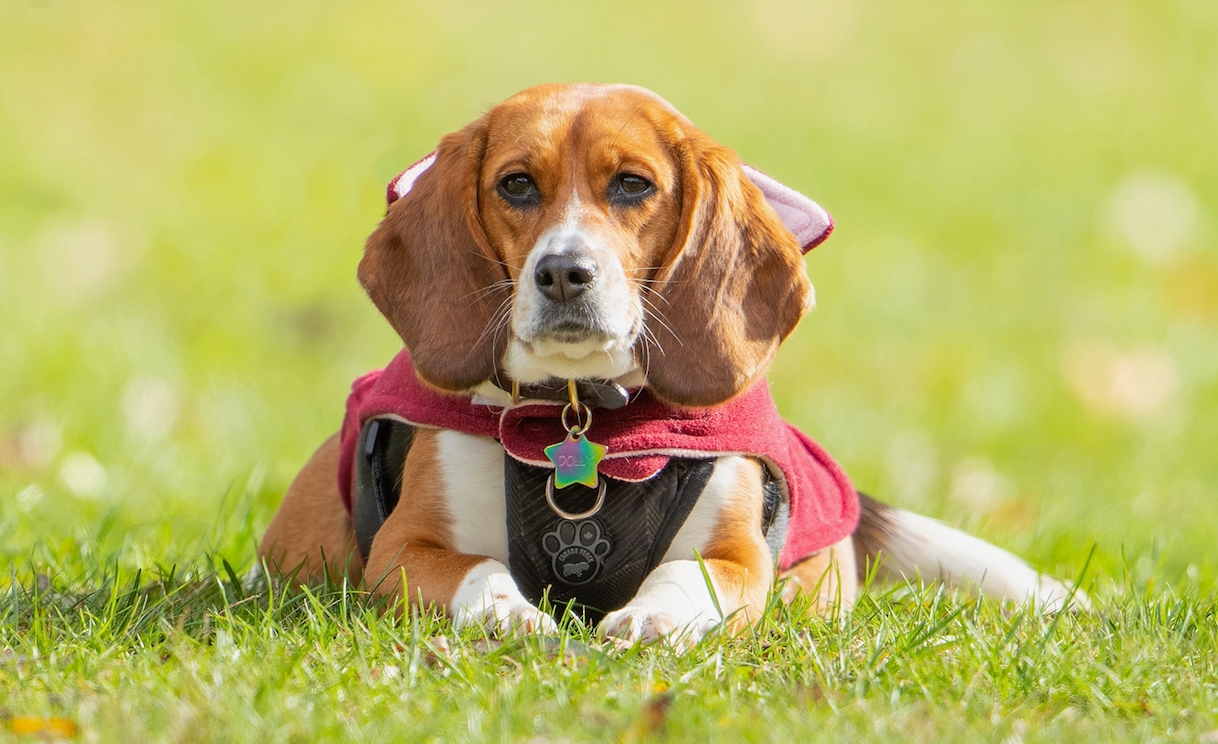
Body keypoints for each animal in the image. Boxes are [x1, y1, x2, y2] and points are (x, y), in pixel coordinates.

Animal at [259, 79, 1086, 638]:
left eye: (633, 185)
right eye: (516, 185)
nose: (564, 273)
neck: (582, 416)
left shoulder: (741, 560)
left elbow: (691, 576)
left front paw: (653, 617)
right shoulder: (403, 548)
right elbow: (479, 570)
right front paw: (509, 613)